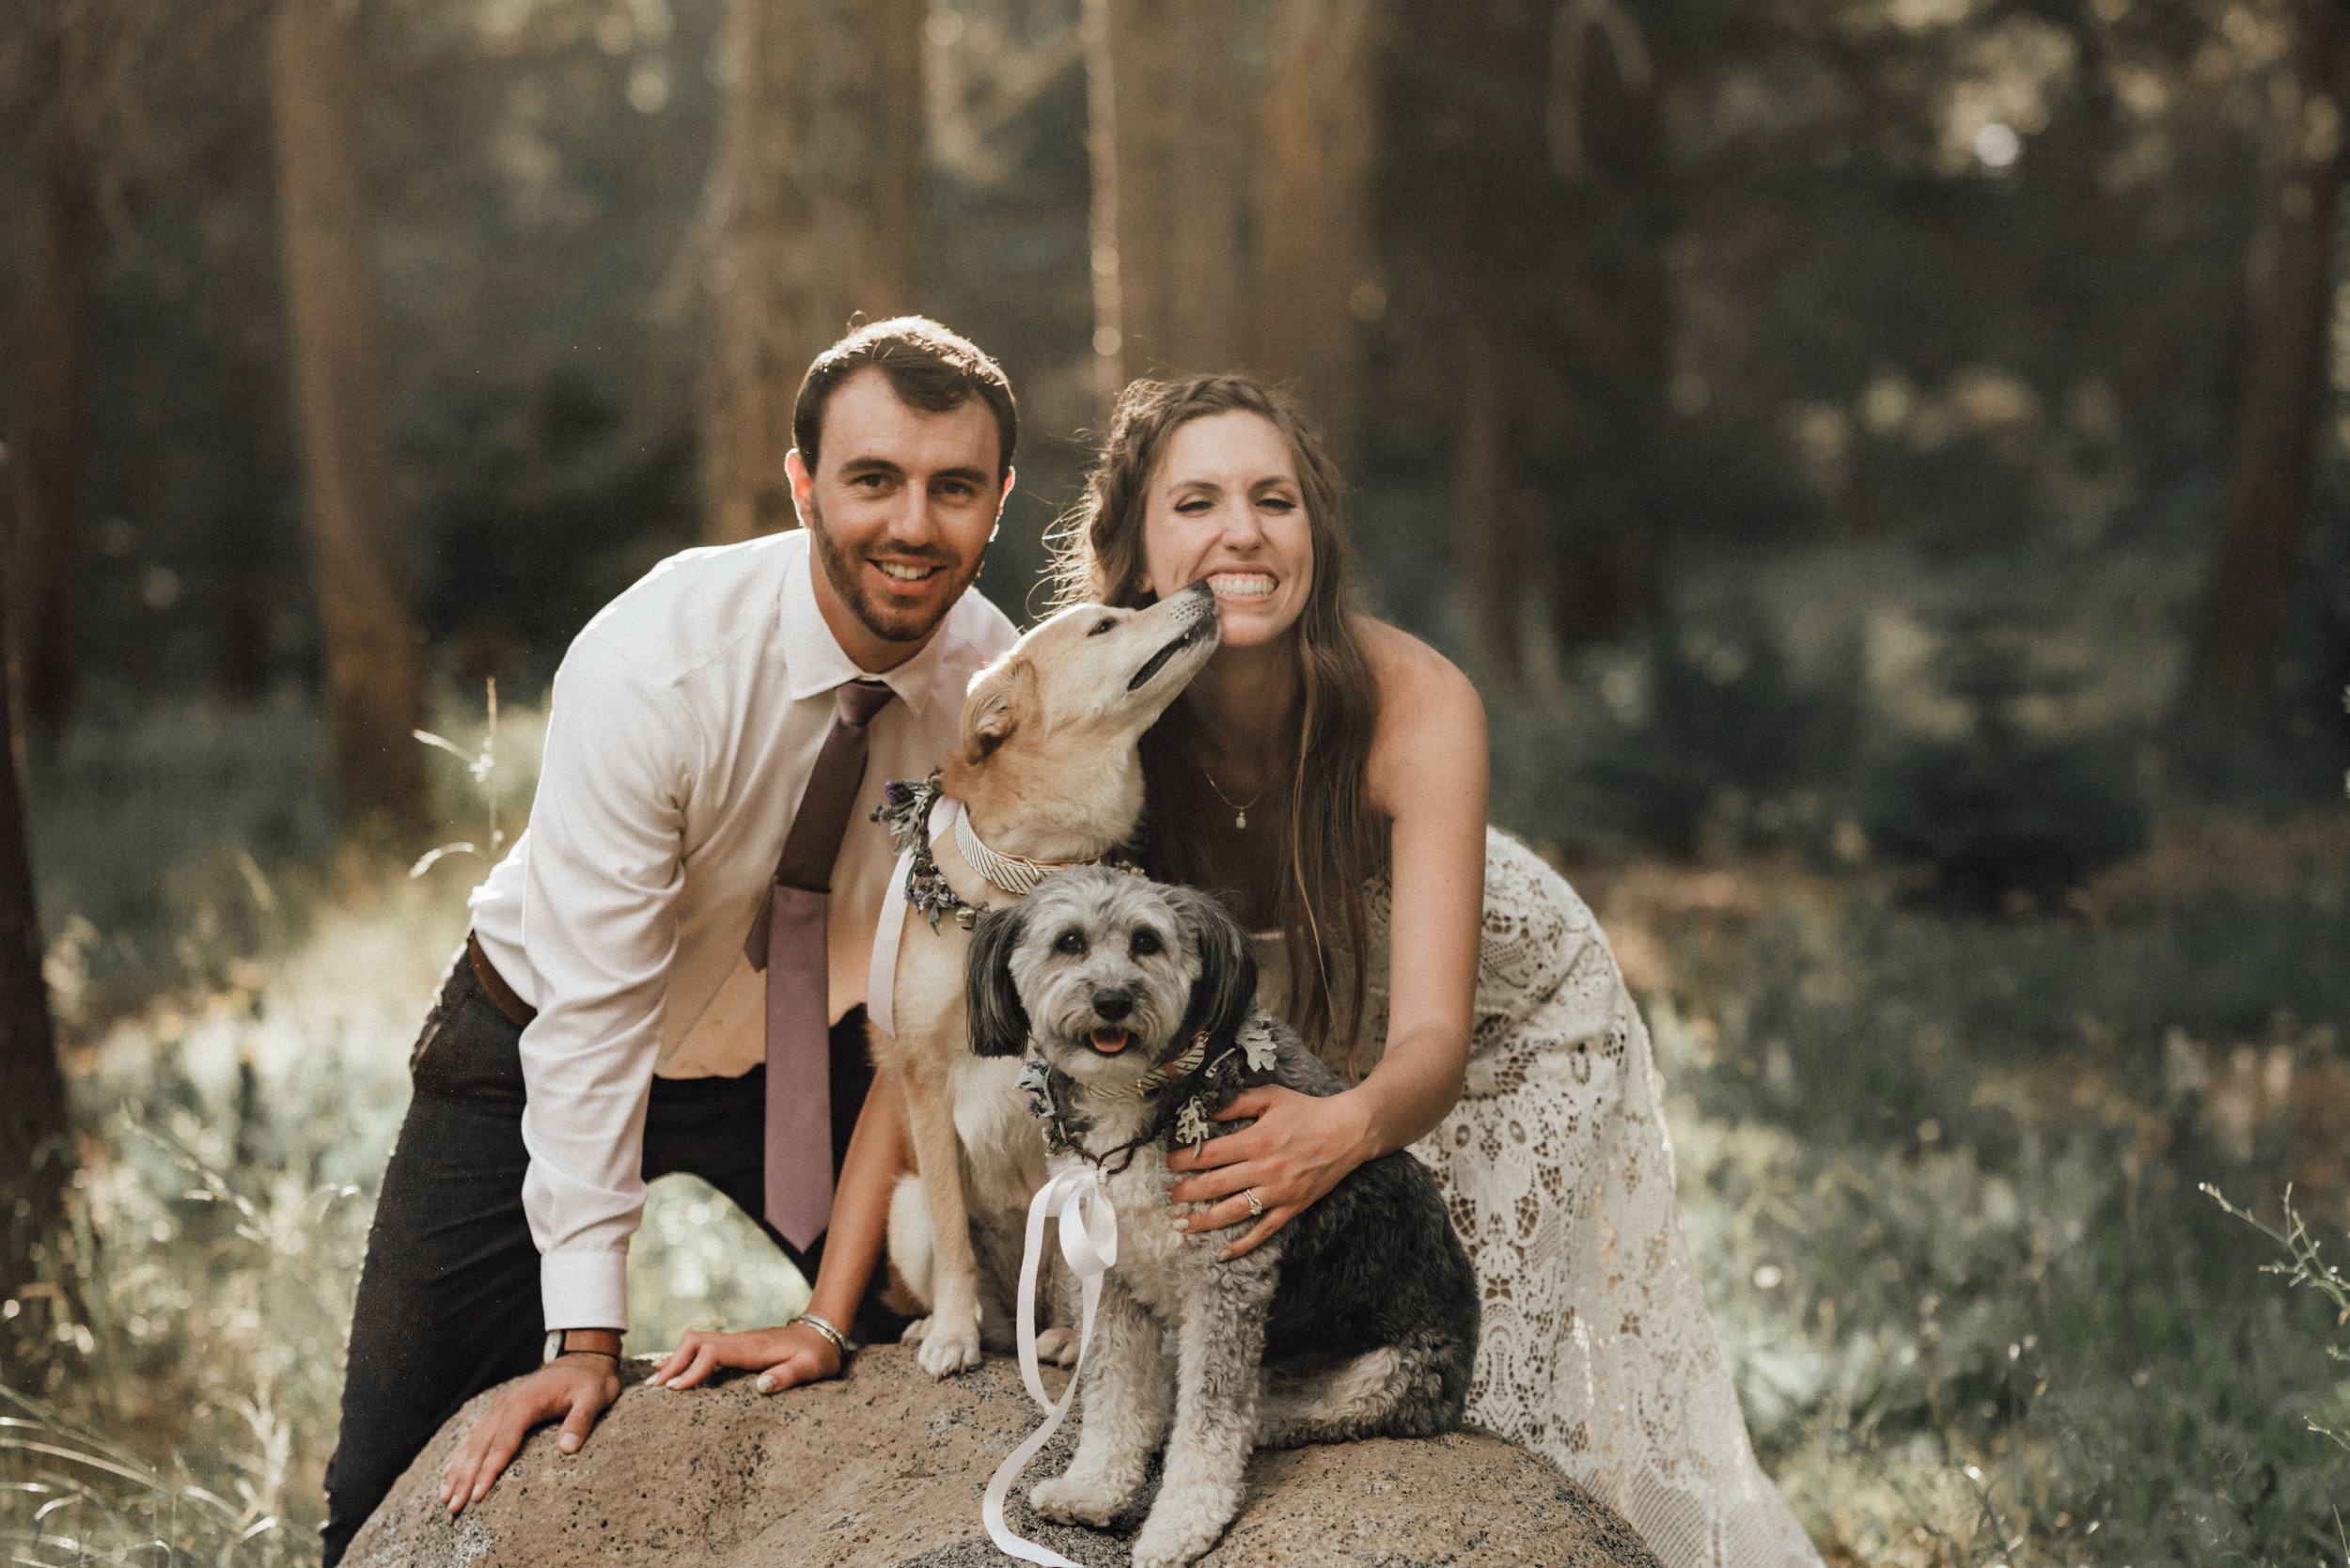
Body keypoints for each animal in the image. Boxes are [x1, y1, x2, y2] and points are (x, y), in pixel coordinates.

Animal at [874, 575, 1222, 1372]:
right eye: (1104, 626)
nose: (1202, 585)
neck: (1029, 877)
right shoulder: (924, 1076)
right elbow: (953, 1227)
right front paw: (951, 1333)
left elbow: (1068, 1249)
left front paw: (1070, 1333)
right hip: (902, 1210)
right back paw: (943, 1323)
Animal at [964, 865, 1476, 1560]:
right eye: (1069, 942)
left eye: (1147, 941)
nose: (1113, 1001)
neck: (1136, 1105)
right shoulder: (1115, 1275)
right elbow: (1115, 1397)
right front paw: (1095, 1489)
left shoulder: (1226, 1278)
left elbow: (1209, 1421)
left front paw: (1180, 1524)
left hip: (1388, 1374)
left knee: (1279, 1414)